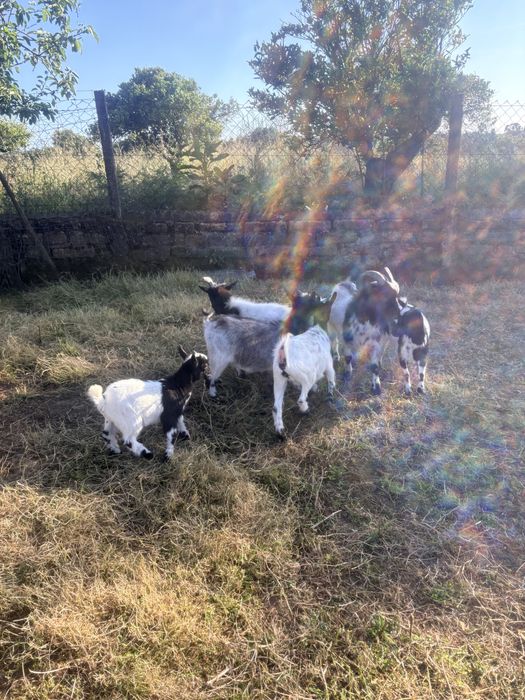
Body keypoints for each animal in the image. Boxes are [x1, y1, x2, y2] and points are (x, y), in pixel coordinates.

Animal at [272, 294, 335, 438]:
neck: (318, 327)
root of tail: (283, 355)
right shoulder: (329, 366)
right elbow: (331, 382)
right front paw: (330, 398)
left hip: (279, 380)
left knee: (276, 407)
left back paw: (280, 431)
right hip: (307, 377)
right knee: (301, 399)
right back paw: (305, 409)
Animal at [341, 267, 402, 395]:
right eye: (385, 296)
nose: (399, 315)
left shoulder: (375, 343)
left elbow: (374, 366)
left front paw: (376, 388)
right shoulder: (346, 339)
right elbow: (348, 357)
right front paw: (347, 375)